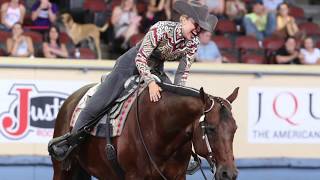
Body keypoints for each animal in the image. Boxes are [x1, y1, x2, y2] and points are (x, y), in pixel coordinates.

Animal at [51, 82, 239, 179]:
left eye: (235, 129)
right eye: (211, 129)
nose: (228, 173)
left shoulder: (177, 176)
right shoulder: (135, 176)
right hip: (62, 170)